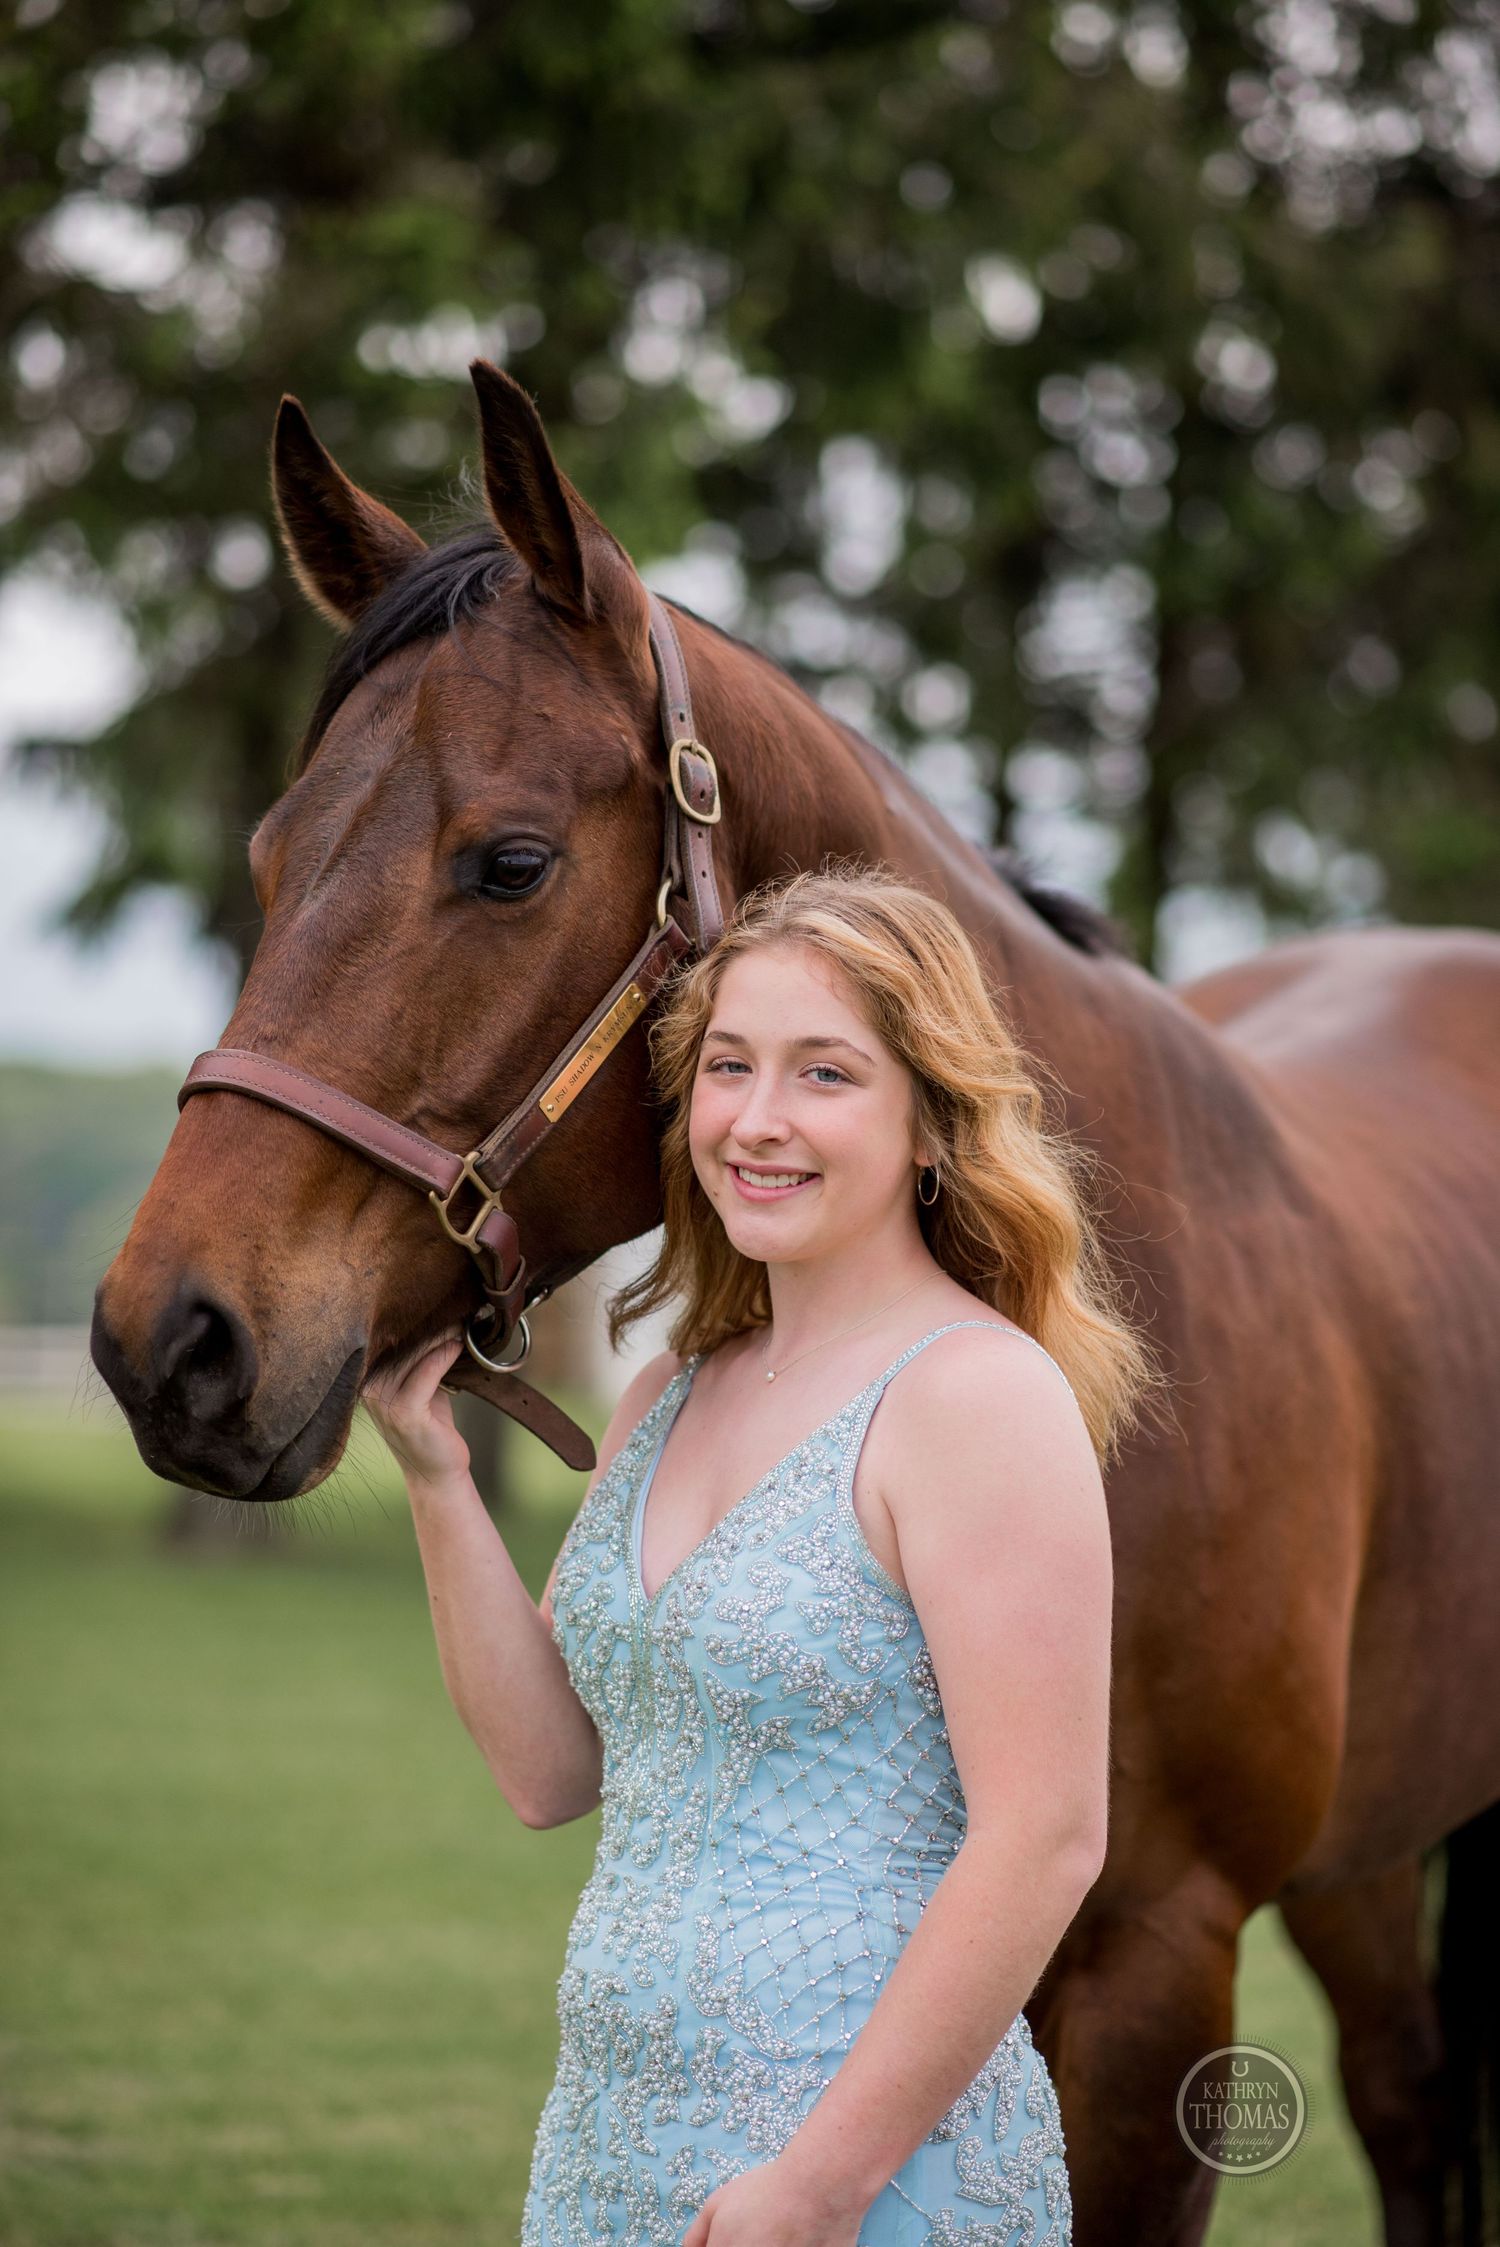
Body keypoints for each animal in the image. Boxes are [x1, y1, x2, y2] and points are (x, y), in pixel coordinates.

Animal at [92, 360, 1500, 2246]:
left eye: (512, 861)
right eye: (264, 855)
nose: (166, 1338)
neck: (1116, 1387)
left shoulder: (1158, 1964)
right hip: (1373, 1847)